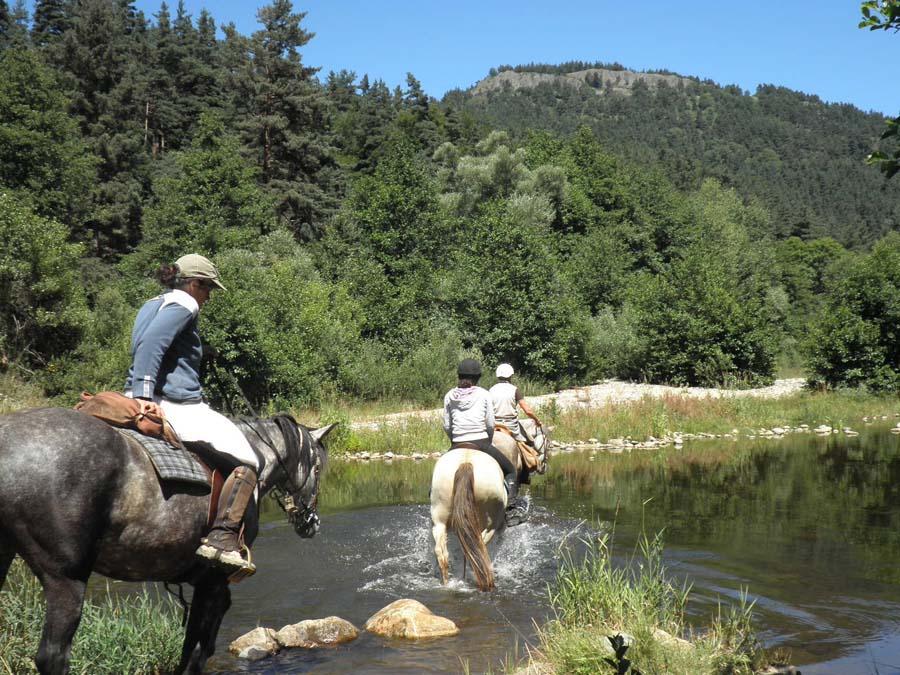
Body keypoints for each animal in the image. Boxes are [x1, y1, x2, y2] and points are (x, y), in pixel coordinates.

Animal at [0, 406, 334, 675]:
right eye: (318, 467)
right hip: (66, 579)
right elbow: (197, 651)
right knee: (53, 657)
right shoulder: (214, 584)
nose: (312, 523)